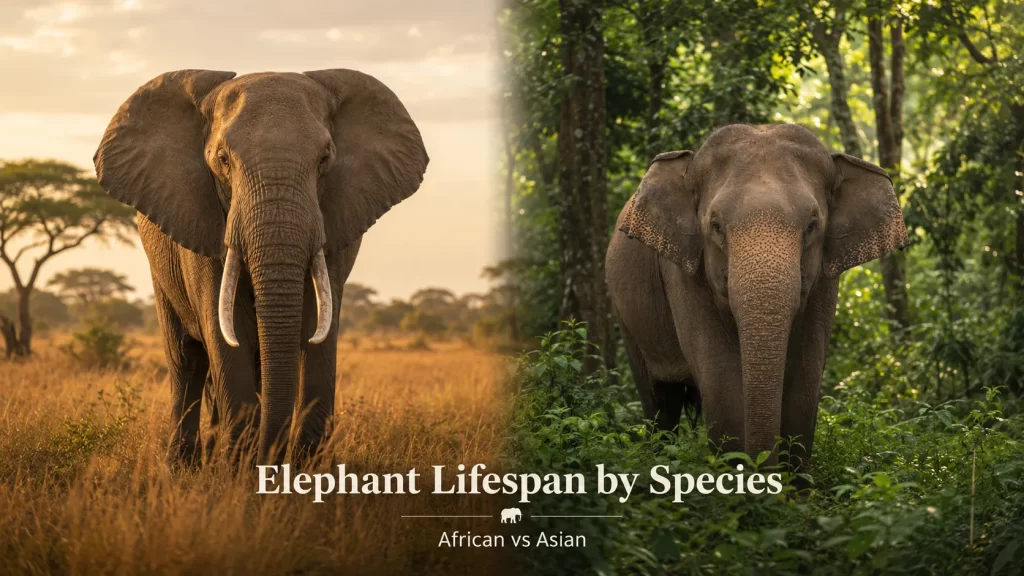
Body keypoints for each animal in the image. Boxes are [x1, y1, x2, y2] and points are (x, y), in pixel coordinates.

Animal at [93, 69, 428, 466]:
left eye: (324, 158)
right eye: (223, 159)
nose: (274, 458)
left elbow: (318, 332)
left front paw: (304, 471)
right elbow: (225, 334)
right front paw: (240, 471)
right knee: (186, 360)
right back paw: (184, 467)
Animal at [605, 123, 906, 472]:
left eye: (812, 225)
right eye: (716, 226)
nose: (765, 468)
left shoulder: (825, 282)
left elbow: (807, 370)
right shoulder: (681, 272)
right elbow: (720, 373)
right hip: (627, 318)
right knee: (660, 403)